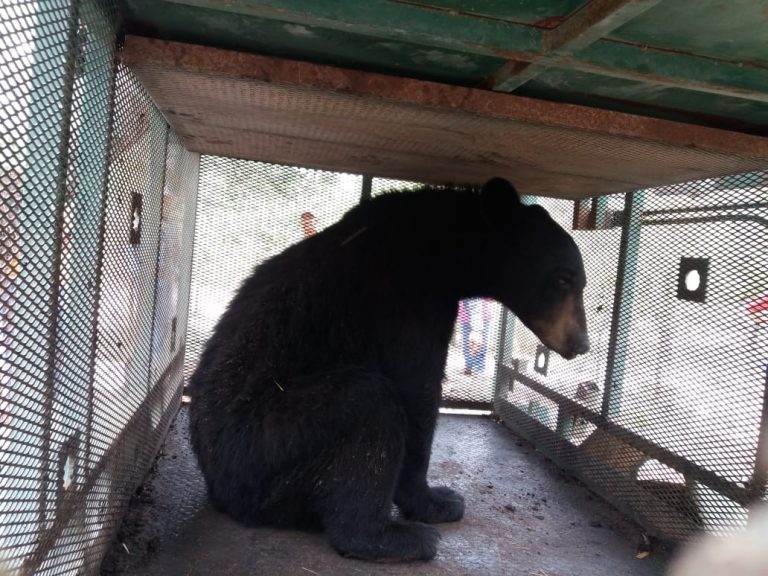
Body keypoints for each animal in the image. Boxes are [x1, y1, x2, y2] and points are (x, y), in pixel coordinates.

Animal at [189, 178, 592, 560]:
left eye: (579, 281)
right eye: (564, 279)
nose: (581, 344)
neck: (450, 251)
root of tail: (216, 487)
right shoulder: (407, 299)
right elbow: (418, 391)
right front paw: (435, 501)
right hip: (262, 445)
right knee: (370, 404)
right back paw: (393, 537)